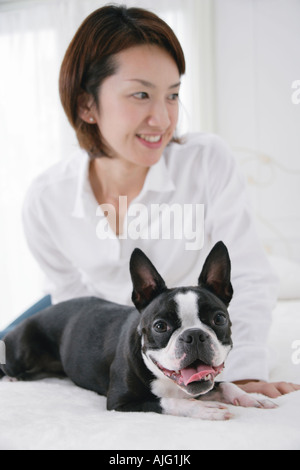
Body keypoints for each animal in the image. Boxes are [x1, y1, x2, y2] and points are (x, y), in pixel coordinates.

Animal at [0, 242, 276, 418]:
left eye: (219, 319)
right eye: (160, 326)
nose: (194, 335)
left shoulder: (205, 383)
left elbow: (226, 384)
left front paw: (252, 396)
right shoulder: (120, 402)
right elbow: (166, 401)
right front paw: (201, 409)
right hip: (23, 349)